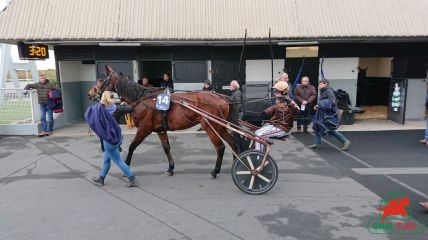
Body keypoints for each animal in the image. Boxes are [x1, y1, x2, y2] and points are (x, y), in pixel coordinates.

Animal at [88, 65, 239, 178]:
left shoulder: (144, 129)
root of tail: (222, 98)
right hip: (221, 127)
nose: (90, 94)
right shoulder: (160, 130)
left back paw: (215, 171)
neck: (142, 99)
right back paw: (237, 164)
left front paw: (126, 166)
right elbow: (166, 148)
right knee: (232, 143)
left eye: (101, 80)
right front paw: (170, 168)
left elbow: (132, 146)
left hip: (211, 126)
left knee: (220, 147)